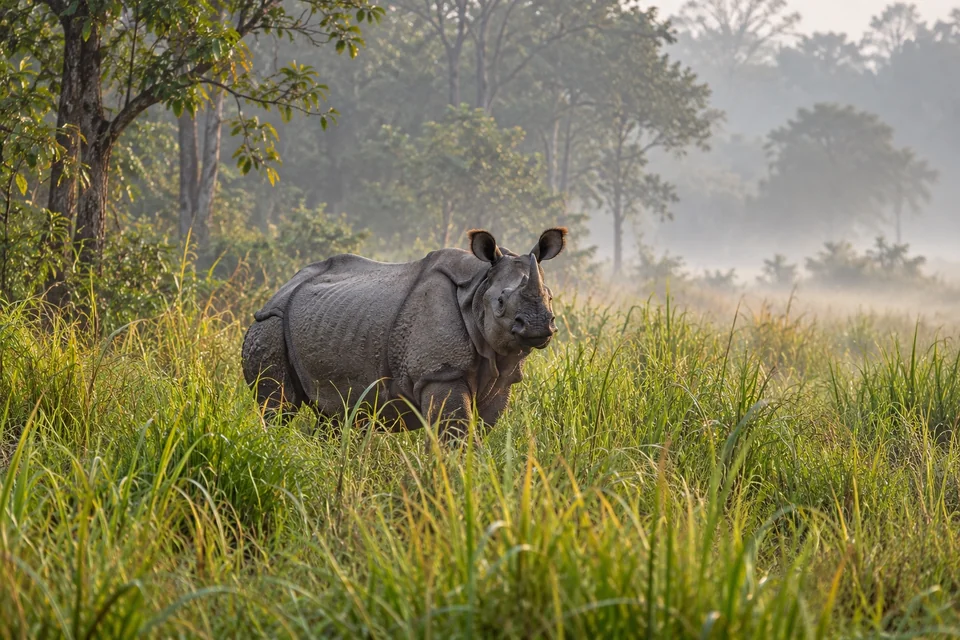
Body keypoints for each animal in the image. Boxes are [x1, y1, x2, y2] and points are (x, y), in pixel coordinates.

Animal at [241, 227, 567, 440]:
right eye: (500, 302)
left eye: (551, 297)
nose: (538, 325)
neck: (478, 288)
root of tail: (280, 288)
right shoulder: (440, 372)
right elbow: (454, 435)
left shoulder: (502, 379)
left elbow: (481, 430)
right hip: (270, 322)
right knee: (278, 408)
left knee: (333, 414)